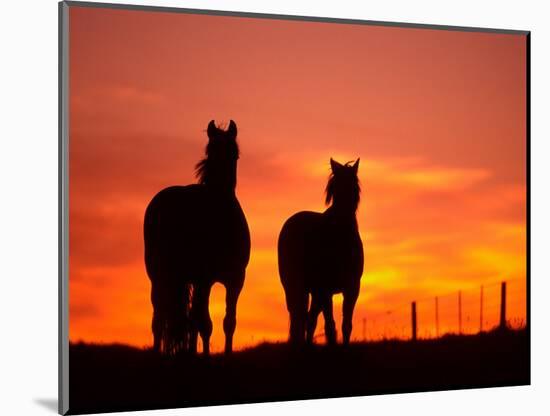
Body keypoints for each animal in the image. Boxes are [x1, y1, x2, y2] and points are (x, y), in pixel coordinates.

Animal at [144, 119, 252, 354]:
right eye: (210, 151)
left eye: (234, 154)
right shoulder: (205, 278)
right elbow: (204, 323)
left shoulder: (235, 279)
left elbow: (228, 322)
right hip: (159, 276)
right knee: (159, 319)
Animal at [278, 158, 364, 346]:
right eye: (334, 188)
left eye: (354, 186)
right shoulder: (325, 289)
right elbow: (330, 326)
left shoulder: (352, 288)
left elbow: (346, 325)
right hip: (295, 287)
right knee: (299, 319)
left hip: (314, 293)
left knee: (308, 320)